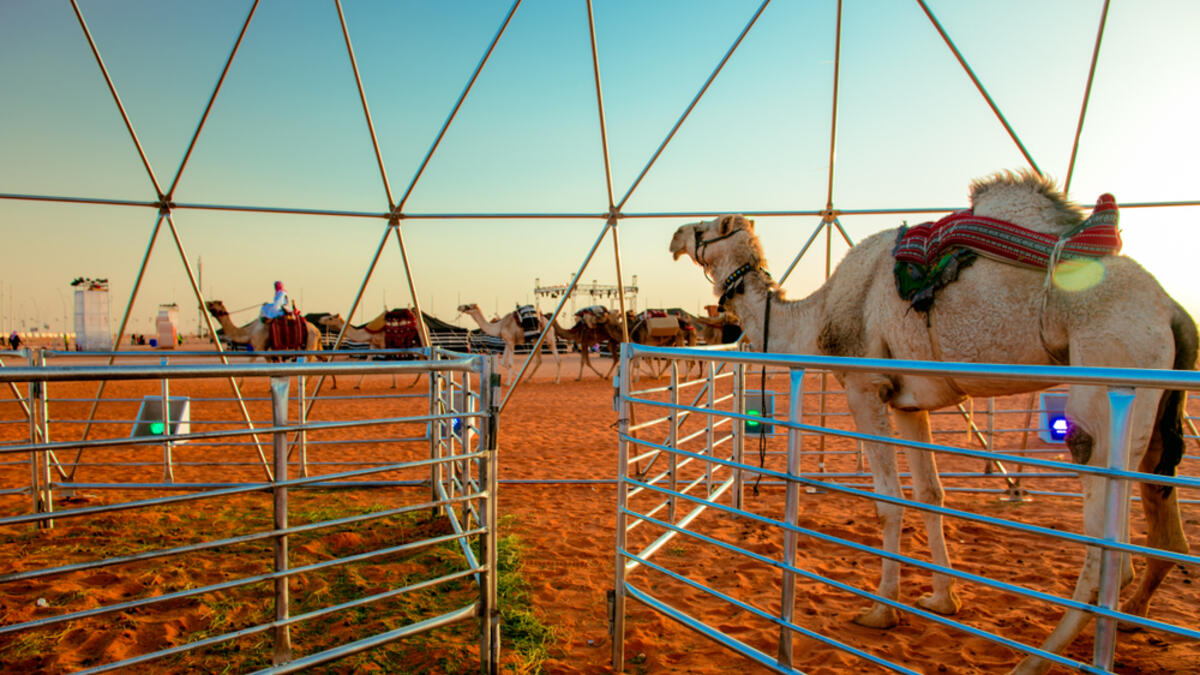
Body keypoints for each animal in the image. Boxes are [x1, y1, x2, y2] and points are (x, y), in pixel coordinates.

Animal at [669, 171, 1196, 675]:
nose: (674, 236)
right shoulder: (908, 402)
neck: (818, 319)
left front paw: (881, 610)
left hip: (1111, 374)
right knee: (1158, 507)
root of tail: (1172, 309)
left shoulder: (865, 386)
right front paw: (943, 599)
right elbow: (930, 494)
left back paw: (1033, 660)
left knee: (1107, 543)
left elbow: (888, 501)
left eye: (708, 227)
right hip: (1156, 401)